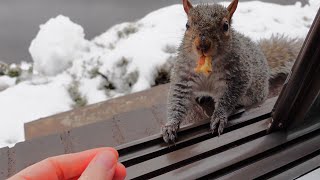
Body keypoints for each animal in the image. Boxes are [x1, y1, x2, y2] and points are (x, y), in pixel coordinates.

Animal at [162, 0, 302, 143]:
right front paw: (171, 125)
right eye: (187, 25)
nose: (202, 45)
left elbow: (228, 98)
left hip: (256, 93)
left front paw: (219, 117)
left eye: (225, 26)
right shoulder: (184, 75)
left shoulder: (238, 76)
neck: (209, 64)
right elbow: (178, 99)